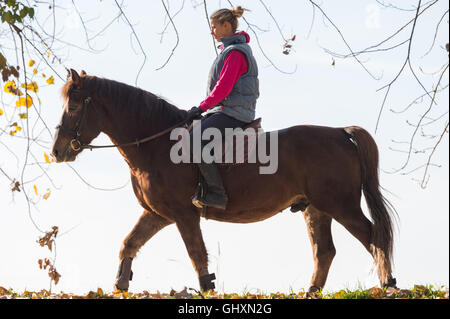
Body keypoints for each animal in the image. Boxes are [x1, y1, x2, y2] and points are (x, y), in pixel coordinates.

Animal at [51, 70, 398, 296]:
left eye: (75, 105)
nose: (57, 151)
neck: (158, 144)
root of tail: (340, 132)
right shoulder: (159, 214)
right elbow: (129, 242)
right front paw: (120, 284)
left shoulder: (183, 214)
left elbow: (196, 253)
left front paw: (207, 288)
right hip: (316, 209)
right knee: (324, 250)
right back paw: (312, 290)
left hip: (341, 205)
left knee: (373, 237)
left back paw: (388, 283)